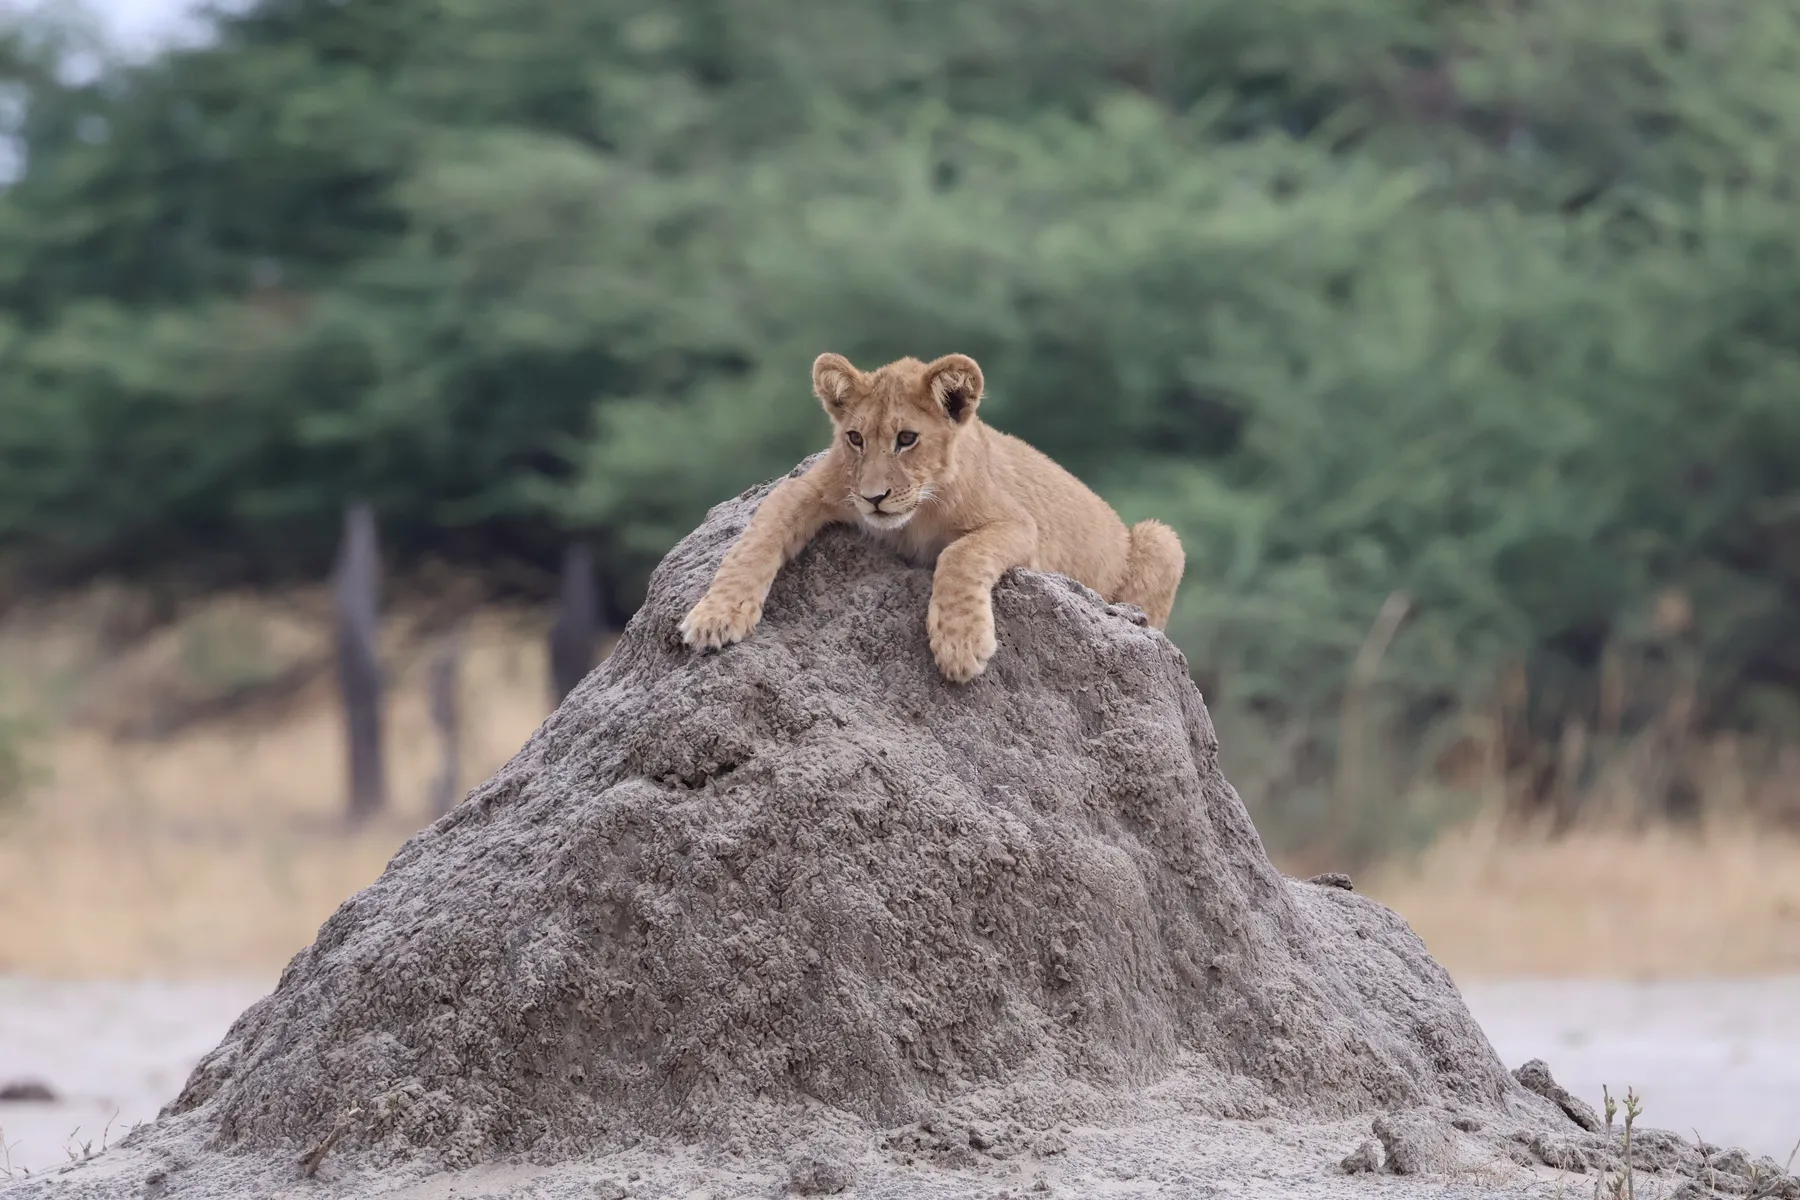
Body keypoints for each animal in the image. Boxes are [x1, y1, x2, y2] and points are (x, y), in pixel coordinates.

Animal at [680, 352, 1185, 682]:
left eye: (907, 438)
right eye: (855, 438)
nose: (874, 498)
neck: (917, 511)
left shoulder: (1019, 525)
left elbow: (961, 554)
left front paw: (960, 645)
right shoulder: (806, 489)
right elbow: (753, 541)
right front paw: (714, 617)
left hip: (1161, 538)